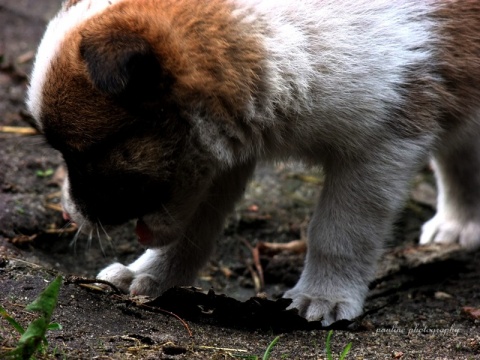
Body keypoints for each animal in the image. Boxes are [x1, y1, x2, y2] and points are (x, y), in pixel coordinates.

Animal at [27, 0, 480, 326]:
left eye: (82, 152)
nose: (68, 215)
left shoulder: (380, 146)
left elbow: (340, 232)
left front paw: (323, 297)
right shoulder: (219, 161)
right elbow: (191, 232)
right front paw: (149, 277)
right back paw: (458, 225)